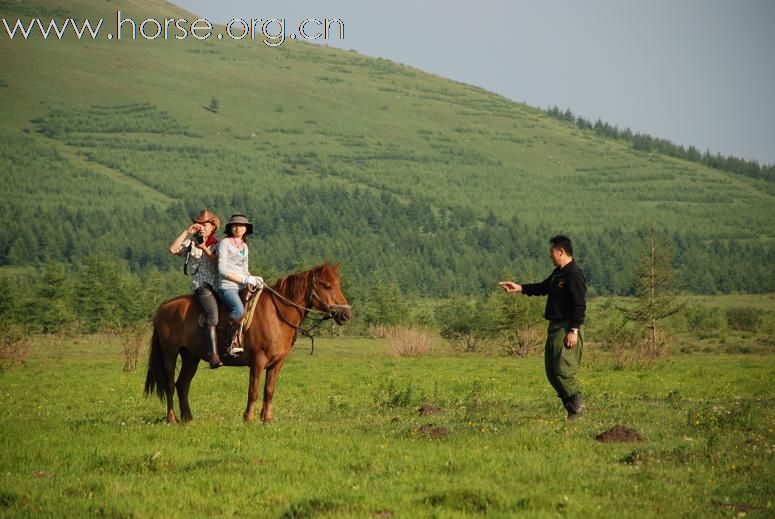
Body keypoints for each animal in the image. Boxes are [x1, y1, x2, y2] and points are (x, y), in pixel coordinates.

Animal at [144, 262, 354, 424]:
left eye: (338, 284)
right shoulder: (258, 361)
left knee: (183, 385)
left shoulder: (277, 364)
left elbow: (269, 390)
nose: (346, 314)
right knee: (170, 384)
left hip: (190, 357)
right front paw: (249, 419)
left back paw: (187, 418)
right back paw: (171, 419)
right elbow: (253, 391)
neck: (277, 315)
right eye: (326, 285)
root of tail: (162, 308)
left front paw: (266, 419)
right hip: (170, 353)